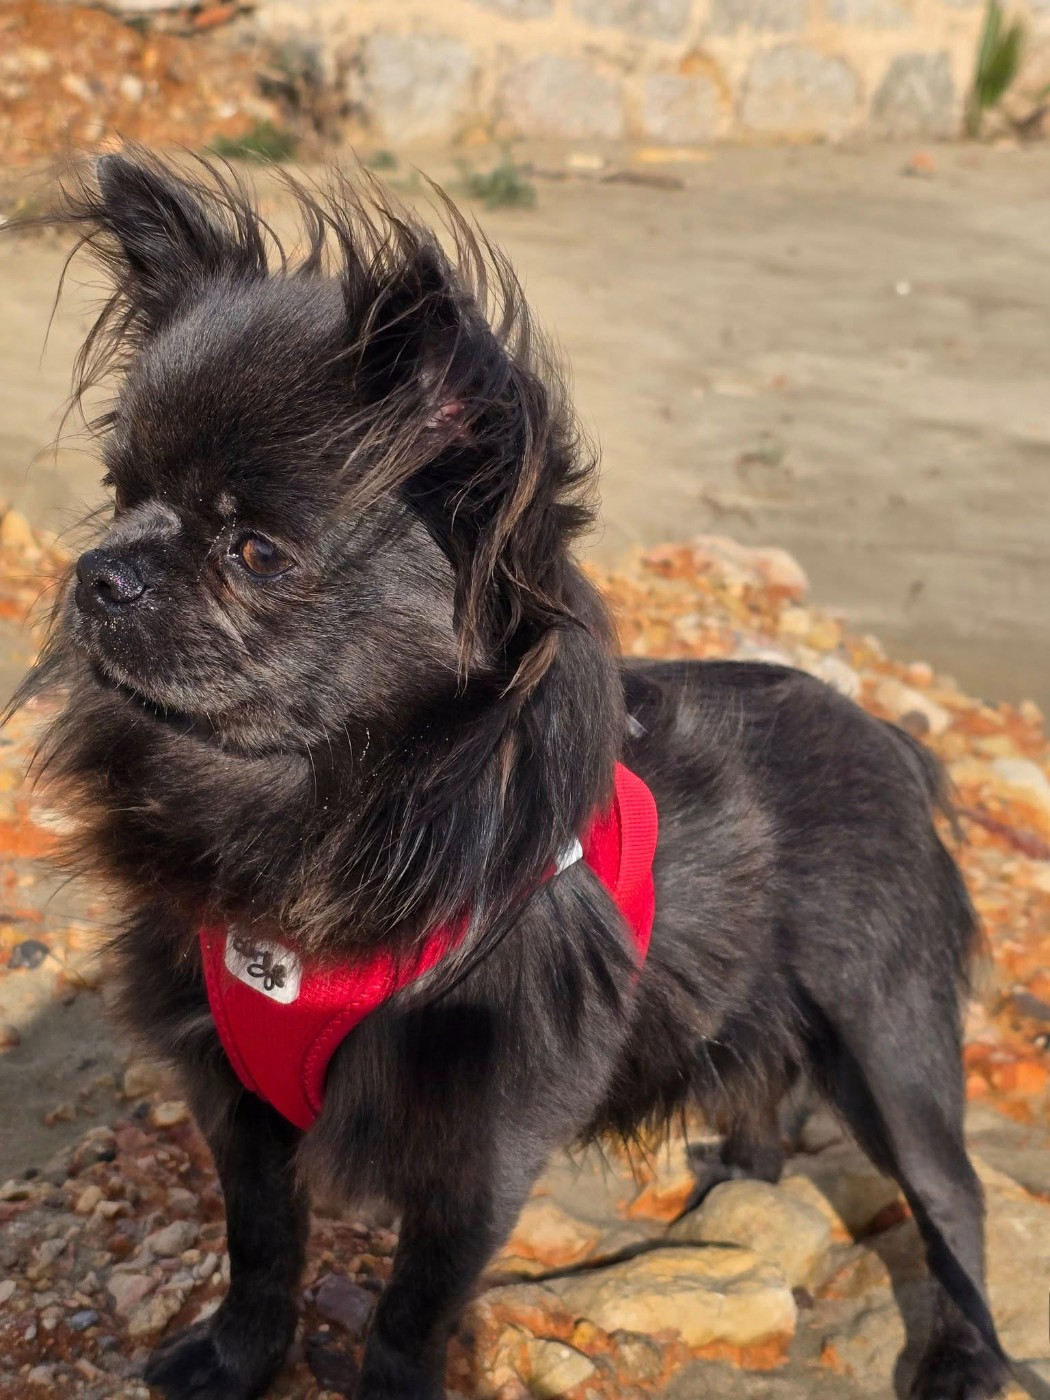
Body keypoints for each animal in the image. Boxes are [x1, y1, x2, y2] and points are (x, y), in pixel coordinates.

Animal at [14, 151, 1008, 1400]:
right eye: (117, 495)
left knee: (948, 1192)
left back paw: (966, 1353)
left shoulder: (476, 1157)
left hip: (887, 1034)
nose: (100, 572)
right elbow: (262, 1248)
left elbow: (406, 1316)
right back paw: (741, 1175)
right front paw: (238, 1359)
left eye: (256, 553)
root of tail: (893, 741)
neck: (307, 819)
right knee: (761, 1084)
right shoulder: (239, 1105)